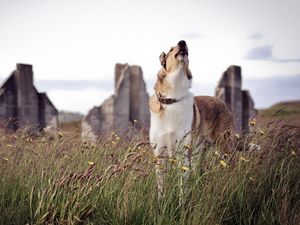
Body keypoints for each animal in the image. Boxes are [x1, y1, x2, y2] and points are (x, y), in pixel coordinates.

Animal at [149, 40, 234, 197]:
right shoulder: (160, 155)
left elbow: (183, 189)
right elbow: (161, 189)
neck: (173, 98)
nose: (182, 42)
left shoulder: (183, 154)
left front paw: (182, 203)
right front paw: (162, 202)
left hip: (222, 146)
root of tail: (222, 102)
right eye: (171, 49)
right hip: (197, 152)